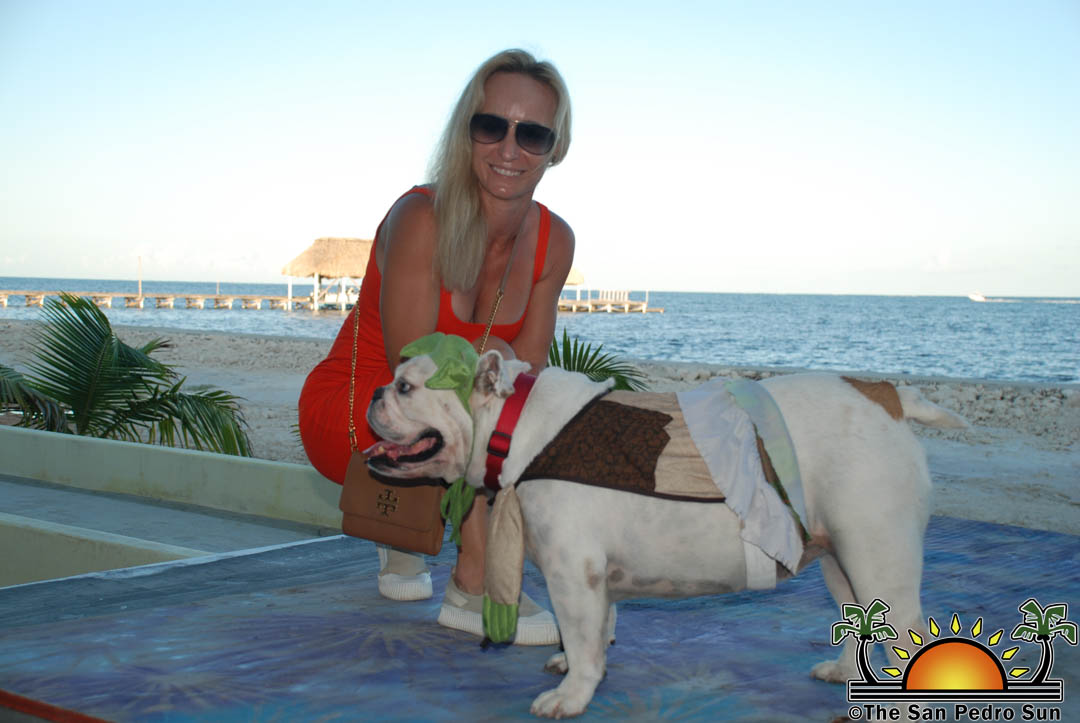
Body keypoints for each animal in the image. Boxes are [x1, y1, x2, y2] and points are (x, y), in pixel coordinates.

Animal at [366, 347, 968, 718]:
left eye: (406, 387)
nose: (375, 393)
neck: (513, 427)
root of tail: (887, 397)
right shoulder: (593, 576)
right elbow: (599, 626)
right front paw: (577, 665)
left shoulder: (572, 571)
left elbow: (581, 634)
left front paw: (571, 694)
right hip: (842, 559)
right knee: (859, 617)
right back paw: (843, 673)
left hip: (877, 556)